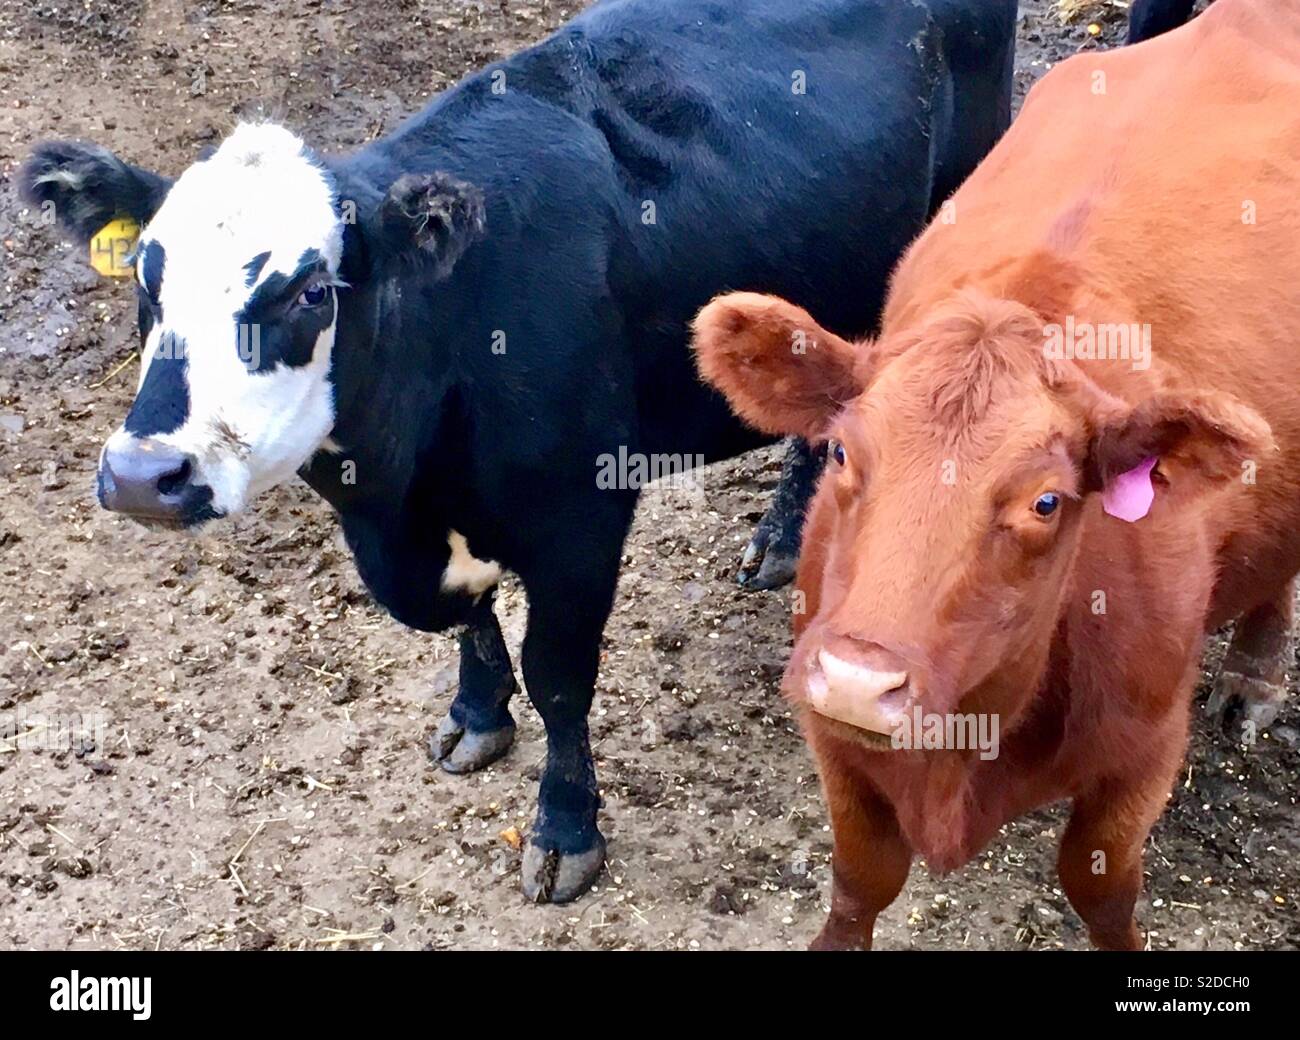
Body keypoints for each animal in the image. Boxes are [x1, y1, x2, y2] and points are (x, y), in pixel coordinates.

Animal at [21, 0, 1019, 904]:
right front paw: (474, 714)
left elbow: (560, 679)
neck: (403, 484)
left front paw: (566, 829)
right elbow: (466, 619)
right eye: (145, 280)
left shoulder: (580, 520)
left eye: (309, 290)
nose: (144, 476)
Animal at [693, 0, 1299, 948]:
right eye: (842, 453)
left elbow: (1101, 888)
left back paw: (1256, 673)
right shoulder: (837, 740)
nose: (860, 681)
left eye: (1047, 500)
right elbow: (860, 878)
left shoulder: (1143, 753)